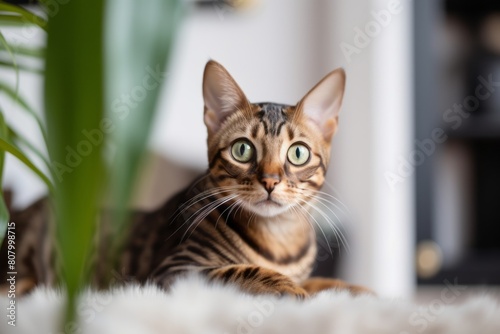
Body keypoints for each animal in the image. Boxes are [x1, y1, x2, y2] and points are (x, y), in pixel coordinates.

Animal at [0, 61, 370, 298]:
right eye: (242, 150)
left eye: (298, 154)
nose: (269, 180)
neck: (279, 240)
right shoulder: (174, 272)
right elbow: (243, 269)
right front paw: (287, 287)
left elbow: (320, 281)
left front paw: (355, 288)